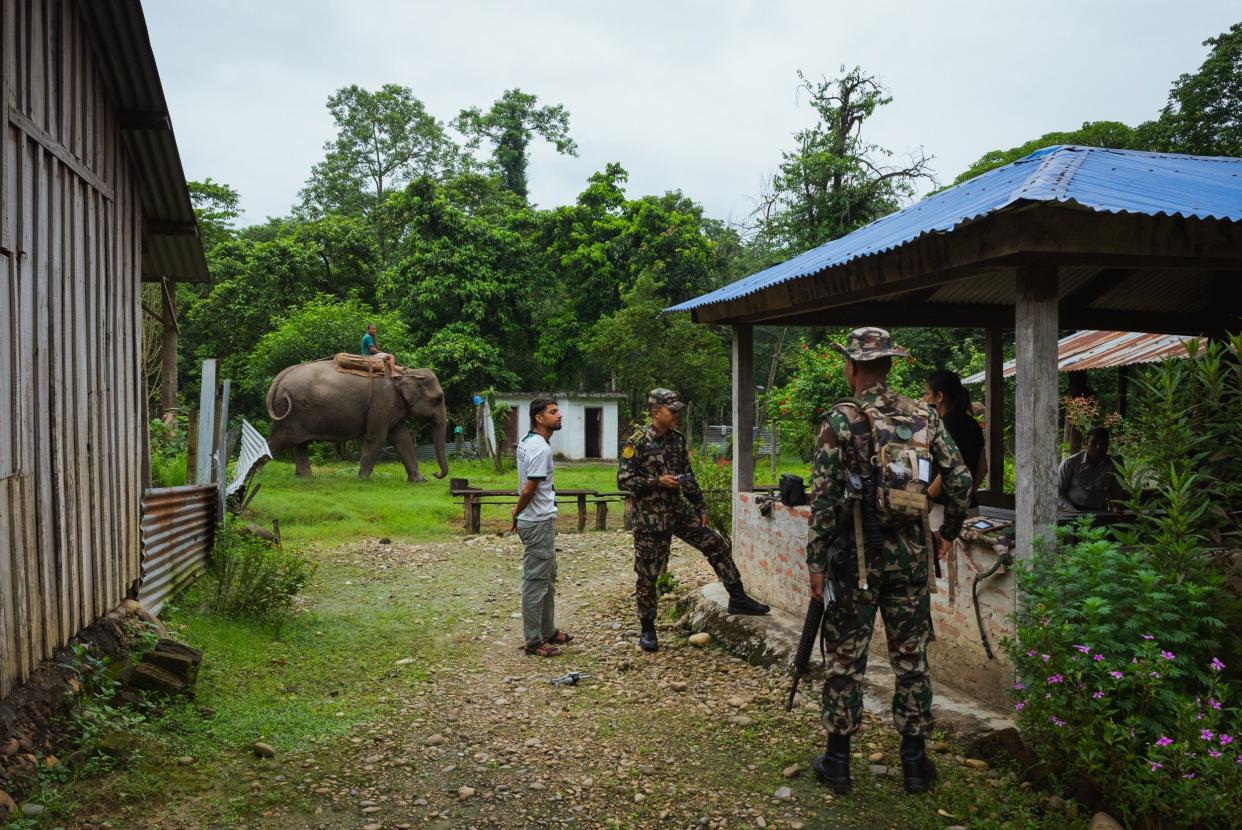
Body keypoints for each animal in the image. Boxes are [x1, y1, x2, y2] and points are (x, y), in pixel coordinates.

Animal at [264, 360, 449, 482]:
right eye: (438, 398)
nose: (435, 474)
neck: (404, 372)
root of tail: (280, 377)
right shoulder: (381, 402)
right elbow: (376, 438)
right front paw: (362, 480)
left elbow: (402, 438)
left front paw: (420, 480)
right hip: (287, 412)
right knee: (277, 441)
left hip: (295, 414)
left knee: (300, 444)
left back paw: (306, 478)